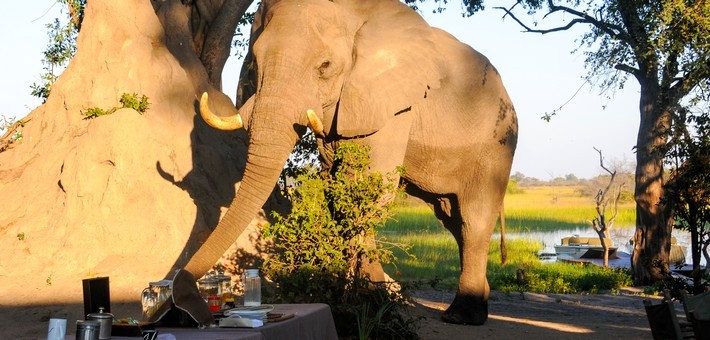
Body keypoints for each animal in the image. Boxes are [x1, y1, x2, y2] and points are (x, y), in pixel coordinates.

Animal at [186, 0, 520, 326]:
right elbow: (337, 189)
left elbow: (367, 189)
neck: (352, 13)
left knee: (474, 219)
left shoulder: (392, 104)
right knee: (453, 220)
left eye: (324, 67)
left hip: (496, 144)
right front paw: (357, 291)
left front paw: (371, 299)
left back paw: (463, 316)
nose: (185, 286)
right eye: (254, 61)